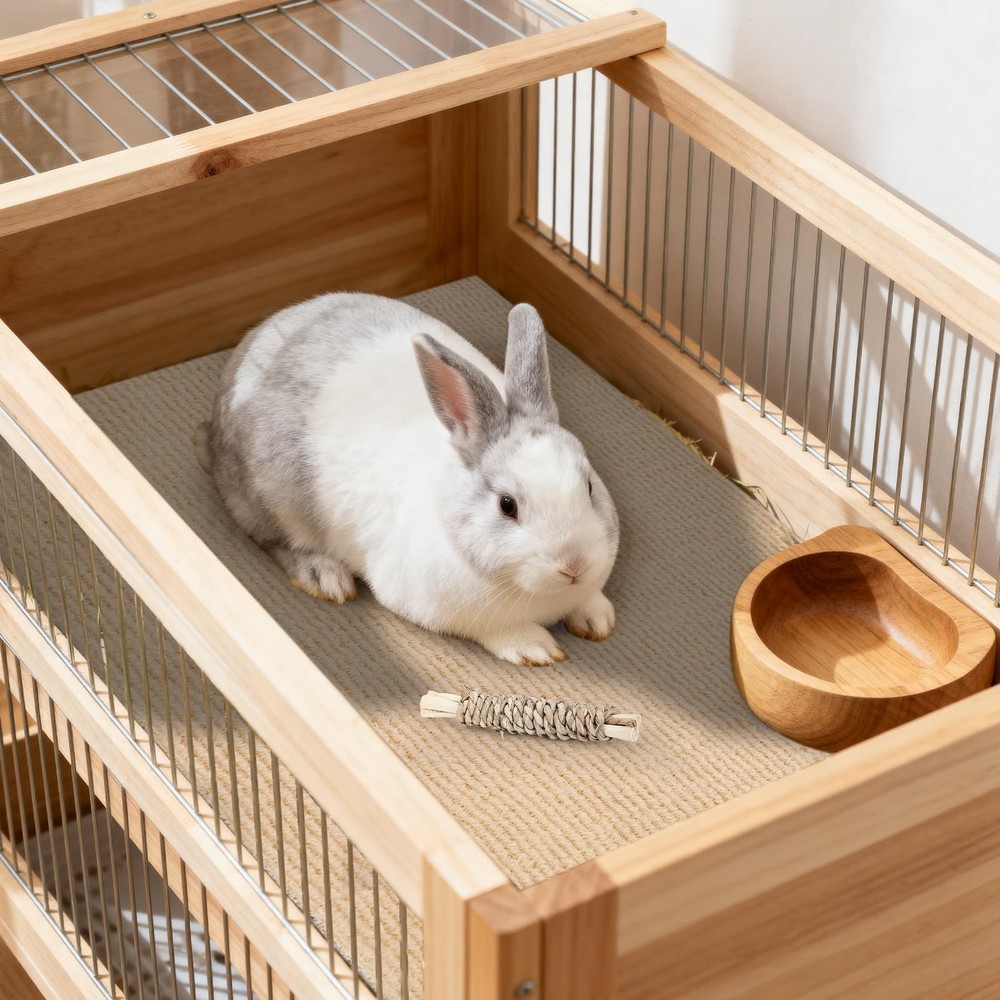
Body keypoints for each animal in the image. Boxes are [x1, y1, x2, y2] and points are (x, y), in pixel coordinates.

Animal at [194, 292, 619, 666]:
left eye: (588, 487)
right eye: (507, 505)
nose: (574, 566)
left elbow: (589, 603)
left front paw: (598, 620)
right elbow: (499, 632)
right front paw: (536, 649)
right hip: (273, 500)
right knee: (272, 540)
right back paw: (325, 577)